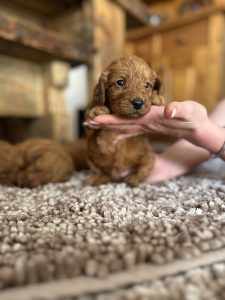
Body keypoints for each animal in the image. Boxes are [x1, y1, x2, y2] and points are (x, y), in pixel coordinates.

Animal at [85, 54, 164, 185]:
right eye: (120, 82)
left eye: (147, 85)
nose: (138, 103)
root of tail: (118, 174)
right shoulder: (87, 124)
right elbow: (89, 112)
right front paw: (97, 109)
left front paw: (156, 97)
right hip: (89, 156)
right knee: (100, 171)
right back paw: (97, 178)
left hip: (150, 155)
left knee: (143, 167)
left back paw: (133, 178)